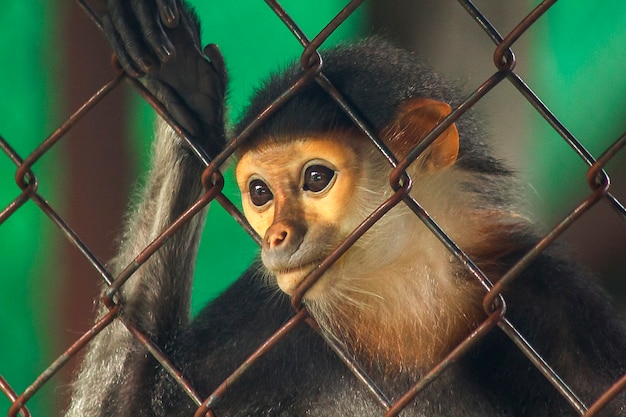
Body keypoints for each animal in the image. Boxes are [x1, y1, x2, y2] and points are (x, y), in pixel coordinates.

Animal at [64, 1, 624, 414]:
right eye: (261, 193)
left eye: (316, 178)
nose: (277, 236)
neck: (400, 297)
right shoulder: (265, 314)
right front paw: (182, 104)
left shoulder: (543, 289)